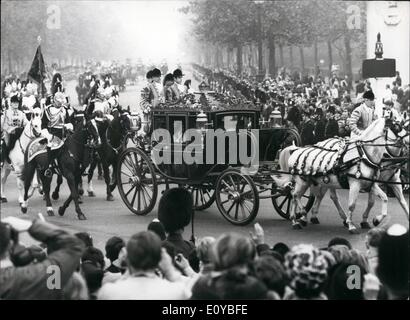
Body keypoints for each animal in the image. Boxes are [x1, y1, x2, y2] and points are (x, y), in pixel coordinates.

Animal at [274, 117, 406, 232]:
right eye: (396, 127)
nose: (406, 143)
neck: (364, 155)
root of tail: (296, 150)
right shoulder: (355, 184)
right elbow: (352, 205)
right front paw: (352, 225)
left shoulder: (372, 184)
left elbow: (386, 198)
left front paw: (375, 219)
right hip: (303, 182)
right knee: (295, 195)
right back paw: (300, 217)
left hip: (319, 181)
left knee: (301, 195)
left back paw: (301, 218)